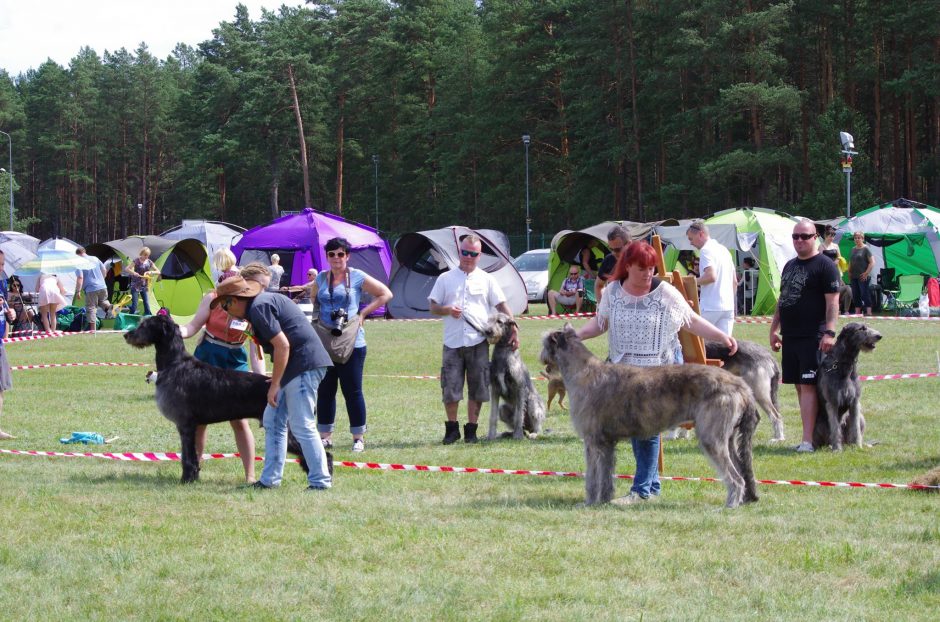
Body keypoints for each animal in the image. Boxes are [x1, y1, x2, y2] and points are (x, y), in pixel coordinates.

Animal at [125, 316, 318, 482]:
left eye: (144, 324)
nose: (127, 335)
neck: (174, 363)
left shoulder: (185, 425)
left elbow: (187, 456)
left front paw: (186, 479)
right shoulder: (190, 426)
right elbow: (192, 455)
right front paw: (193, 477)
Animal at [468, 314, 548, 442]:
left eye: (499, 321)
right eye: (489, 320)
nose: (487, 331)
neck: (503, 350)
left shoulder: (520, 388)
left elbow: (519, 415)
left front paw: (518, 435)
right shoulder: (495, 389)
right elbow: (493, 416)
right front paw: (491, 436)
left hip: (533, 404)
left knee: (536, 427)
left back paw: (532, 434)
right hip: (503, 409)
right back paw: (507, 433)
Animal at [540, 324, 760, 510]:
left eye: (544, 343)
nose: (540, 357)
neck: (583, 371)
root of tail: (741, 386)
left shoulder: (594, 442)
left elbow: (593, 476)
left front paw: (589, 502)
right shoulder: (607, 444)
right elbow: (606, 475)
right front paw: (604, 500)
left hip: (711, 436)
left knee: (735, 477)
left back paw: (729, 505)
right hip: (728, 437)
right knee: (740, 469)